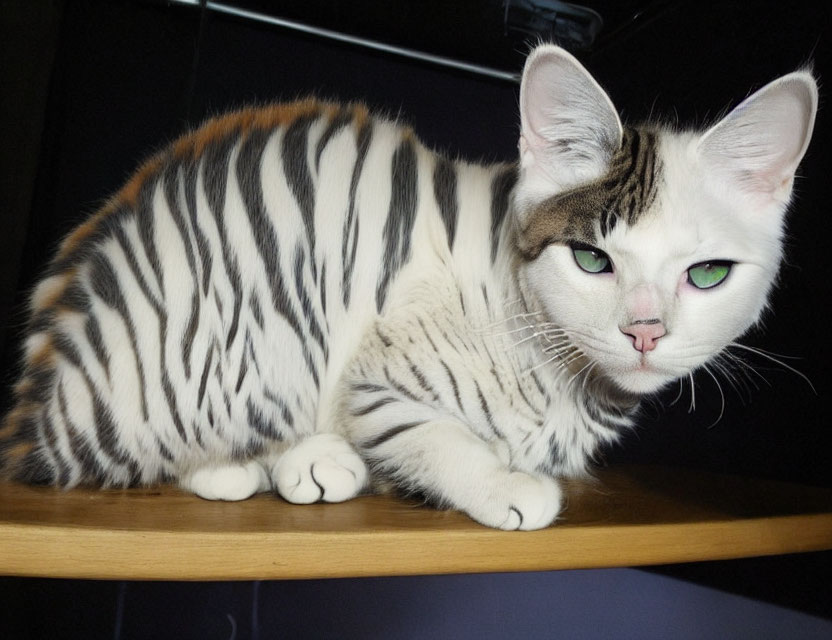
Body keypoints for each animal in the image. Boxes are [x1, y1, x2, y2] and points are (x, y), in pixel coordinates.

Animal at [0, 45, 820, 528]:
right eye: (592, 260)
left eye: (706, 275)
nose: (644, 330)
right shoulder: (377, 373)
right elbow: (431, 431)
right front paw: (502, 484)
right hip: (261, 331)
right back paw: (288, 462)